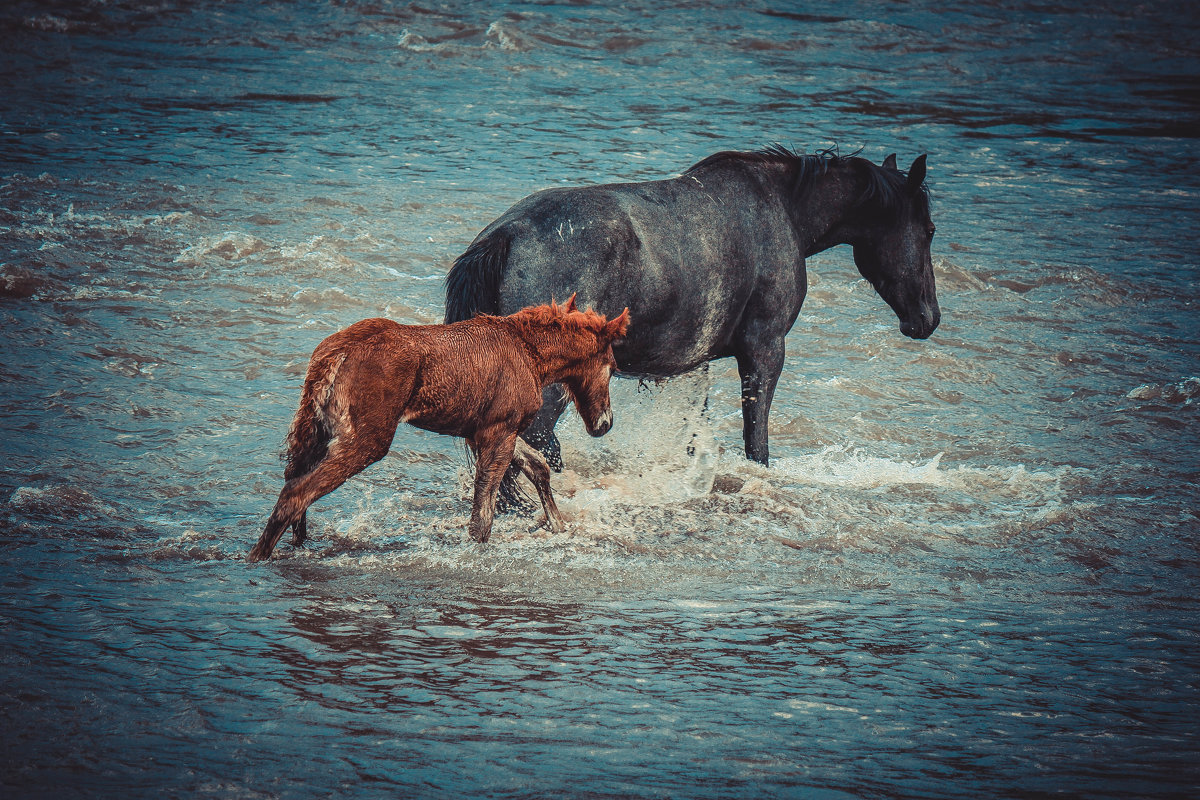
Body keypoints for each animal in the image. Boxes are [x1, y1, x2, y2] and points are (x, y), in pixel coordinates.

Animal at [446, 144, 940, 479]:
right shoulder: (765, 350)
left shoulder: (687, 366)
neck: (781, 208)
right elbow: (756, 441)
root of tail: (506, 235)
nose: (928, 318)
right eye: (931, 229)